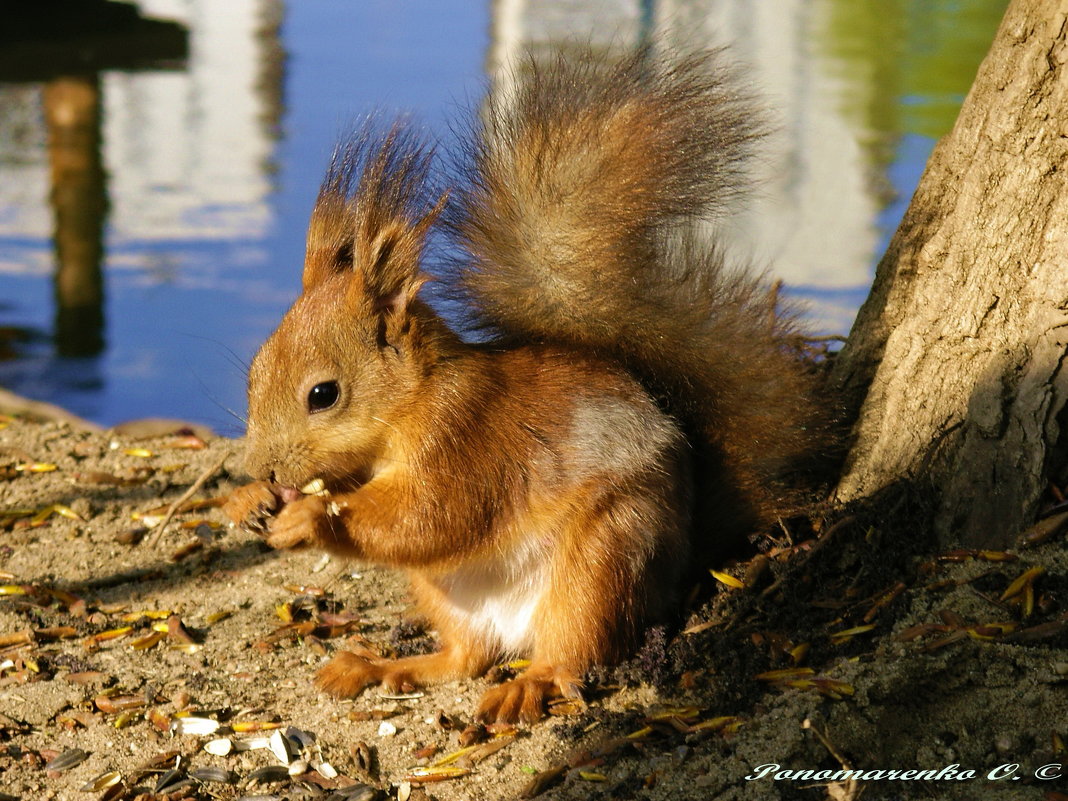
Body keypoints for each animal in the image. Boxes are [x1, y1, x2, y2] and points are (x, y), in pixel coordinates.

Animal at [223, 43, 824, 726]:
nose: (264, 467)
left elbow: (429, 518)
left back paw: (529, 682)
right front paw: (247, 501)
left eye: (323, 395)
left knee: (574, 650)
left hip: (603, 559)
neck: (415, 400)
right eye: (254, 373)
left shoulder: (468, 438)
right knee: (466, 658)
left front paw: (310, 517)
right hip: (446, 594)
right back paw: (381, 666)